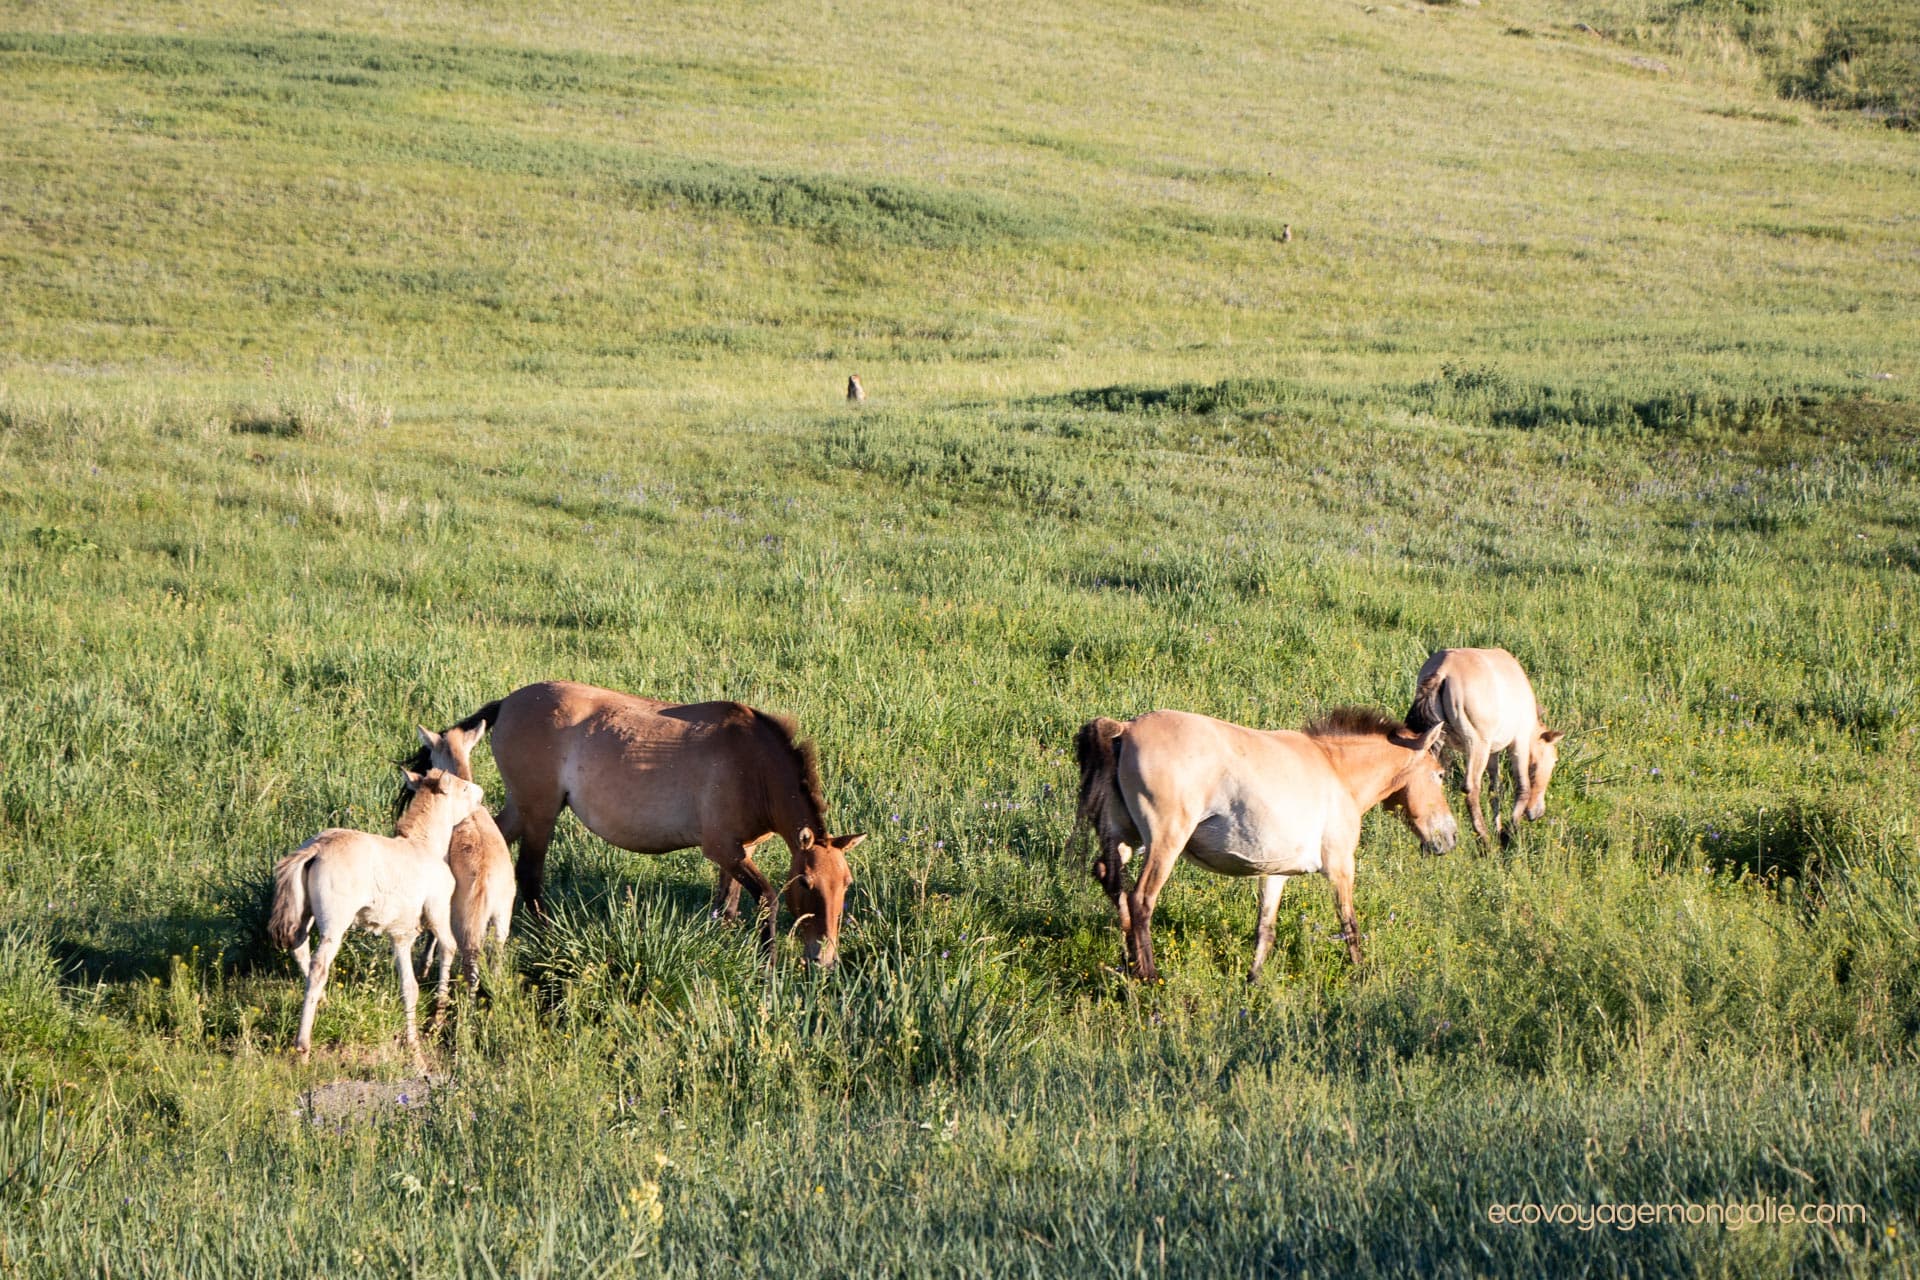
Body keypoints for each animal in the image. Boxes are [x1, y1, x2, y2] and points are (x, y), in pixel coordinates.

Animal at [267, 768, 483, 1063]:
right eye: (462, 788)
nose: (480, 792)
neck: (423, 845)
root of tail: (316, 848)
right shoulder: (435, 912)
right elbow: (446, 949)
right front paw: (435, 1019)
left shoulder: (400, 933)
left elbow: (409, 985)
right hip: (335, 923)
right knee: (318, 965)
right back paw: (303, 1046)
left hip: (305, 914)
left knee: (299, 948)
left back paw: (326, 1002)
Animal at [432, 682, 863, 965]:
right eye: (806, 884)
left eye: (846, 884)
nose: (824, 959)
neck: (753, 766)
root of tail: (507, 703)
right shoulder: (722, 848)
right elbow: (767, 899)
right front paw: (768, 963)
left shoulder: (740, 850)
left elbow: (727, 902)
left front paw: (721, 938)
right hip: (540, 812)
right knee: (529, 872)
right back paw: (544, 929)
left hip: (523, 809)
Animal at [1072, 708, 1456, 980]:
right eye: (1439, 775)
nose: (1449, 838)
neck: (1336, 770)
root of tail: (1124, 729)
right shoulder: (1340, 867)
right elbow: (1350, 926)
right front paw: (1362, 975)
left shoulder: (1276, 873)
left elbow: (1265, 930)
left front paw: (1253, 981)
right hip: (1164, 843)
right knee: (1141, 900)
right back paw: (1149, 976)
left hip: (1125, 840)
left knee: (1111, 883)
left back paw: (1128, 963)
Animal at [1406, 648, 1565, 848]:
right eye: (1553, 760)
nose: (1536, 813)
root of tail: (1443, 671)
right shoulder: (1519, 743)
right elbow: (1523, 787)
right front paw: (1510, 833)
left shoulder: (1493, 753)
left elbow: (1494, 790)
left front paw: (1499, 829)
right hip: (1477, 745)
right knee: (1471, 788)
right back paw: (1485, 840)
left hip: (1438, 742)